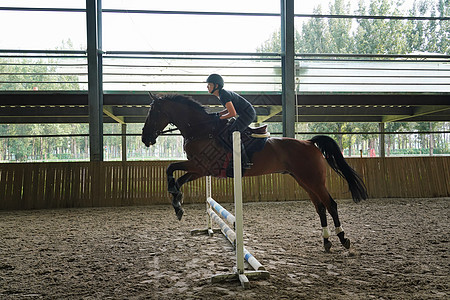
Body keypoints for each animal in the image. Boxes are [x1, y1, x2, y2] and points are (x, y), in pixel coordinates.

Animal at [142, 93, 368, 251]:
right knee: (320, 207)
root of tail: (309, 143)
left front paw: (177, 202)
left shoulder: (201, 166)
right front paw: (177, 204)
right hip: (303, 180)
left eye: (153, 114)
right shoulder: (199, 169)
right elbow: (176, 177)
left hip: (314, 181)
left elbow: (171, 168)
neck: (202, 130)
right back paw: (327, 241)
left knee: (330, 205)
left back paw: (343, 238)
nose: (145, 139)